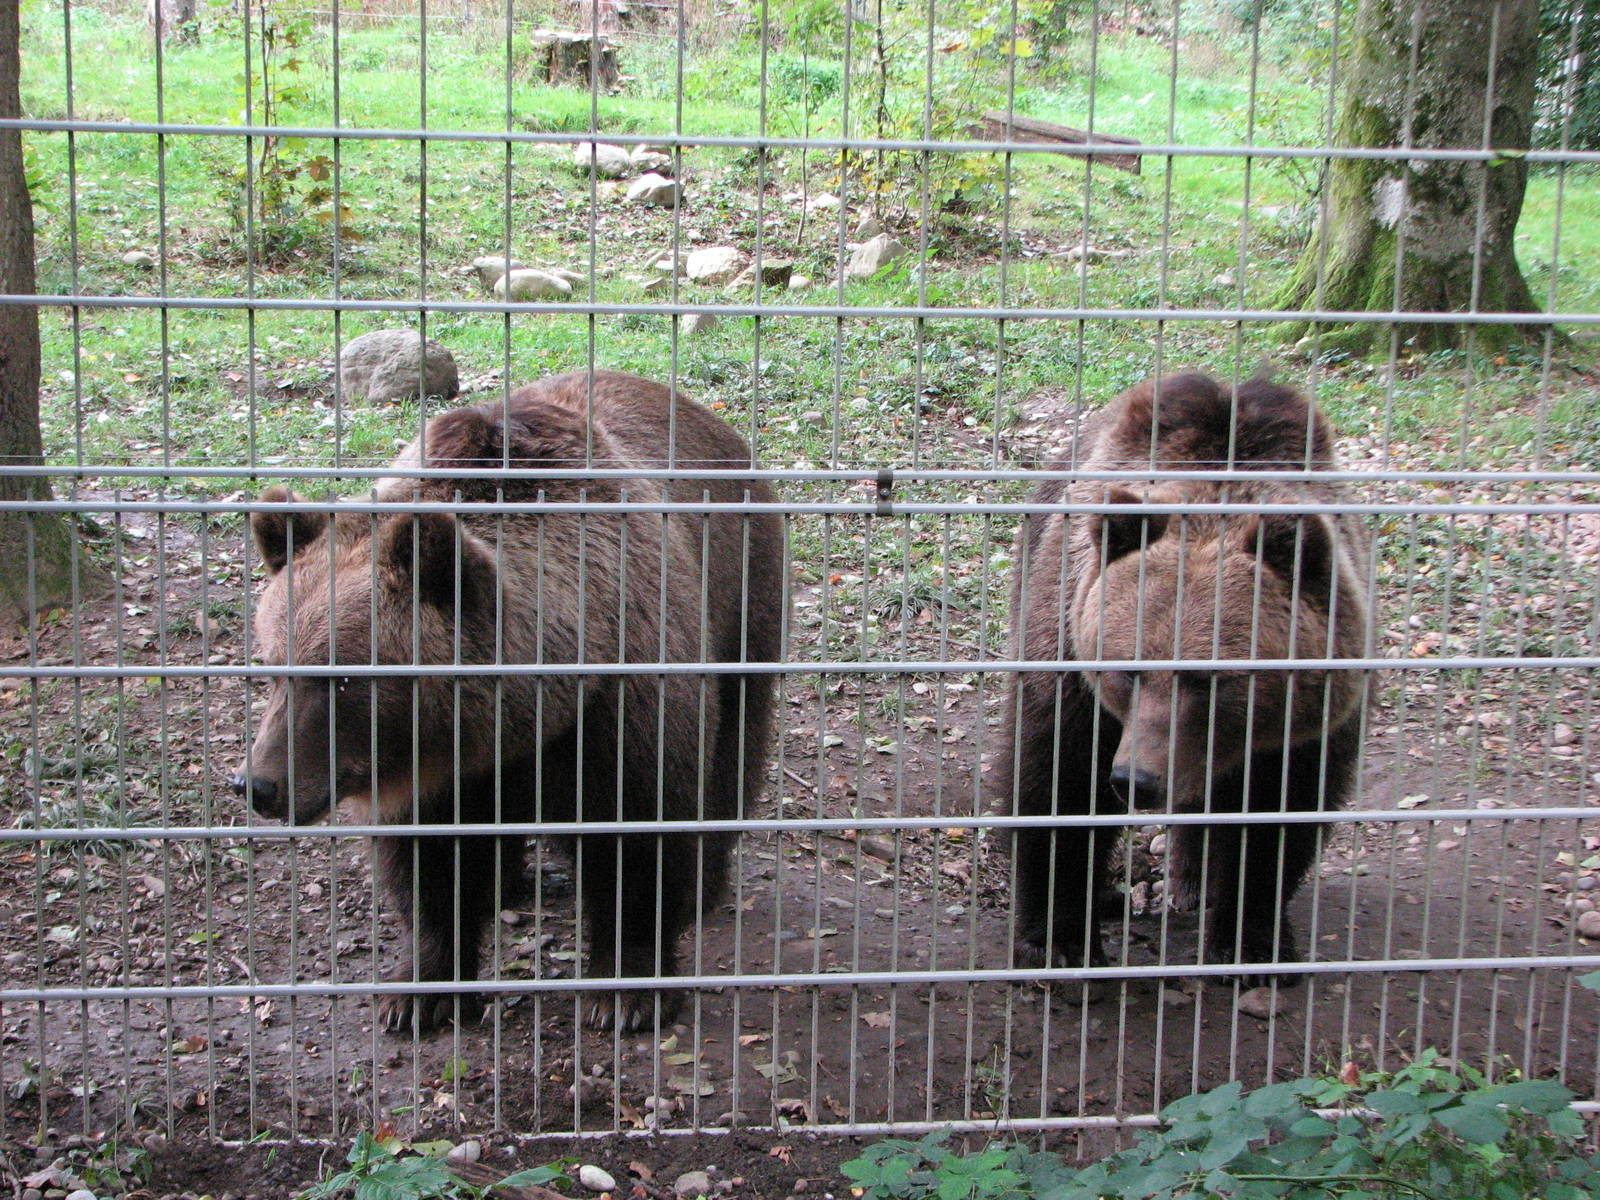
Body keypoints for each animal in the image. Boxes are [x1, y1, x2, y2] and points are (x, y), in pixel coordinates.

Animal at [230, 370, 784, 1033]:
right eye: (272, 668)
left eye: (340, 680)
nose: (259, 784)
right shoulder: (434, 775)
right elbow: (429, 866)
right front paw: (419, 991)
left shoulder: (623, 697)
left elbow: (639, 837)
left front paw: (627, 991)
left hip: (740, 595)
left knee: (732, 750)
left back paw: (703, 885)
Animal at [997, 370, 1371, 982]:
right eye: (1128, 669)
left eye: (1210, 677)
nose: (1136, 779)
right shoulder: (1073, 664)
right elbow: (1062, 778)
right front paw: (1061, 938)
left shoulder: (1309, 722)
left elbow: (1277, 817)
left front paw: (1252, 942)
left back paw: (1194, 882)